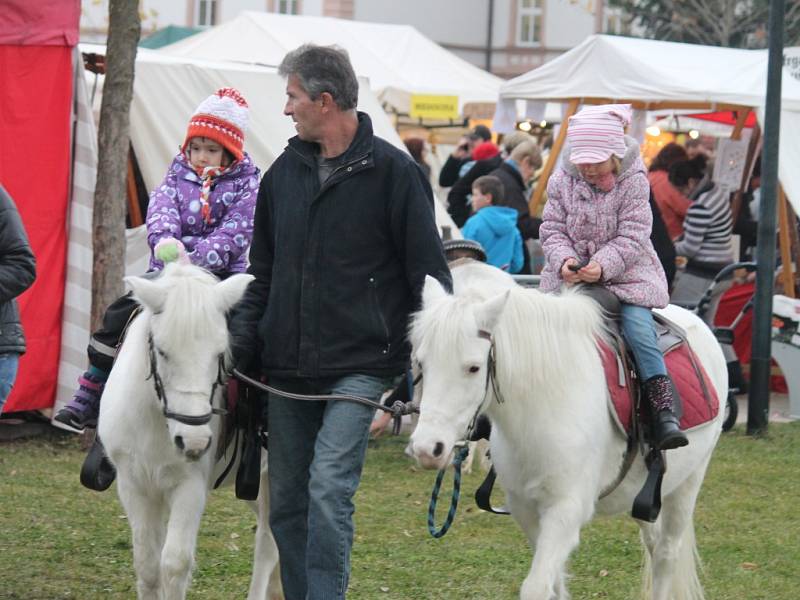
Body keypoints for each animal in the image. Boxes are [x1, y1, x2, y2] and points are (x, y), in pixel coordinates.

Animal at [97, 264, 282, 600]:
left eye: (221, 353)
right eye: (162, 351)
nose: (194, 442)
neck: (157, 421)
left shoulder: (190, 486)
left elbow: (174, 564)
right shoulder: (134, 486)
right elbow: (147, 565)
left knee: (268, 541)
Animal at [410, 262, 728, 600]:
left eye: (473, 367)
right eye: (421, 363)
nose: (427, 448)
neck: (543, 405)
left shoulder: (565, 510)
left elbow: (537, 586)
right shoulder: (525, 508)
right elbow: (554, 584)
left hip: (688, 482)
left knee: (667, 553)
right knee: (654, 544)